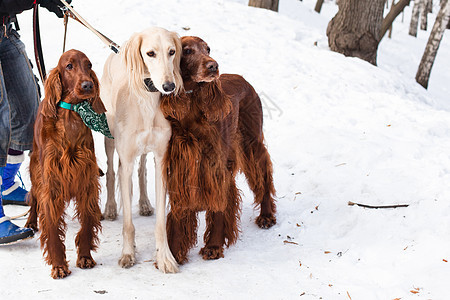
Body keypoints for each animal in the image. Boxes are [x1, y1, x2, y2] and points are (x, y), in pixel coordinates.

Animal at [25, 49, 104, 278]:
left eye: (89, 65)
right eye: (69, 66)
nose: (88, 85)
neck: (70, 120)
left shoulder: (86, 180)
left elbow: (87, 223)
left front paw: (85, 256)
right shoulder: (50, 185)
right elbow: (51, 227)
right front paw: (59, 265)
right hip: (36, 170)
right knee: (33, 197)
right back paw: (30, 222)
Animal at [100, 27, 181, 272]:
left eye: (172, 51)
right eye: (150, 53)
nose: (169, 87)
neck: (147, 99)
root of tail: (117, 50)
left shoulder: (162, 159)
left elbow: (161, 223)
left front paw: (164, 257)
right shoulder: (125, 161)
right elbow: (128, 223)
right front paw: (128, 254)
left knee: (142, 169)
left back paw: (144, 203)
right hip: (109, 136)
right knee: (111, 170)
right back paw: (110, 207)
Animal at [160, 36, 276, 264]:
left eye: (208, 49)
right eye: (187, 51)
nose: (214, 66)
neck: (191, 103)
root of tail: (243, 79)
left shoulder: (215, 165)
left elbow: (220, 204)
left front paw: (213, 246)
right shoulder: (180, 162)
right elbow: (179, 211)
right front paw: (175, 252)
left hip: (251, 143)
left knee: (263, 176)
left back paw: (266, 215)